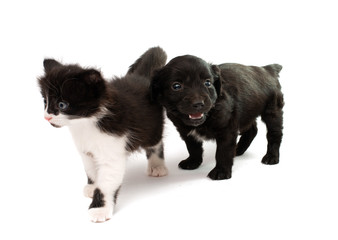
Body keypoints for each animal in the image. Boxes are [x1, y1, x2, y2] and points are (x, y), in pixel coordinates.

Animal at [38, 47, 168, 223]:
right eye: (45, 102)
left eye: (62, 105)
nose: (47, 117)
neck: (84, 124)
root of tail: (141, 78)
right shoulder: (86, 152)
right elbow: (92, 171)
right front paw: (92, 187)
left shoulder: (112, 153)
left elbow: (106, 183)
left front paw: (99, 209)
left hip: (151, 128)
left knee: (156, 143)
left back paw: (157, 166)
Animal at [151, 55, 282, 180]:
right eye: (176, 86)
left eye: (208, 83)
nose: (198, 103)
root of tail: (267, 69)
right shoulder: (185, 131)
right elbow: (193, 147)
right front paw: (193, 162)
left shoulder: (227, 130)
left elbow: (223, 152)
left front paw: (221, 171)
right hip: (246, 113)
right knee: (252, 130)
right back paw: (238, 149)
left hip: (273, 112)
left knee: (274, 135)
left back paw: (271, 157)